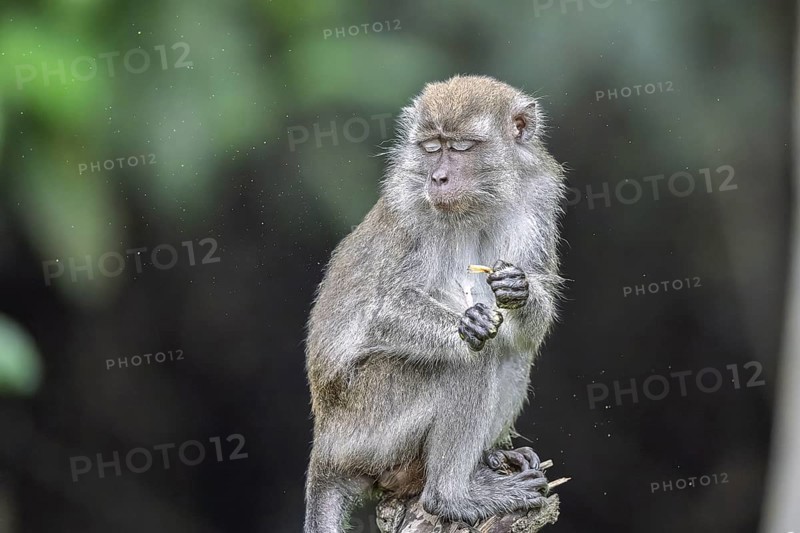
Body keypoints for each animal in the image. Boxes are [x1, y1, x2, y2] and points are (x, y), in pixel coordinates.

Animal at [303, 74, 566, 532]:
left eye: (460, 147)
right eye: (431, 147)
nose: (438, 178)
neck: (480, 201)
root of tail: (326, 448)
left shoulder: (539, 193)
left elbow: (531, 316)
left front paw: (520, 288)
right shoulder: (411, 210)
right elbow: (384, 312)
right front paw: (467, 324)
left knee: (512, 350)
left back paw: (489, 458)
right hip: (367, 423)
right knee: (469, 360)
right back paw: (451, 496)